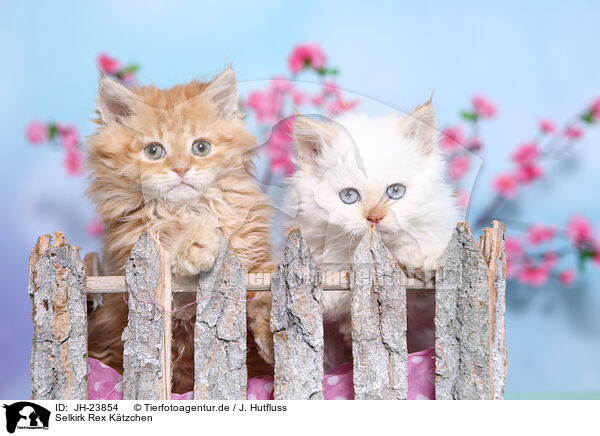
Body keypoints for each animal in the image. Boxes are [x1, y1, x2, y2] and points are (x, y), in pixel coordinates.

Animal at [86, 67, 274, 392]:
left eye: (201, 147)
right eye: (153, 151)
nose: (181, 169)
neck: (187, 210)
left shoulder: (255, 262)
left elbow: (267, 294)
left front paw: (273, 339)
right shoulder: (145, 275)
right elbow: (174, 249)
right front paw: (197, 245)